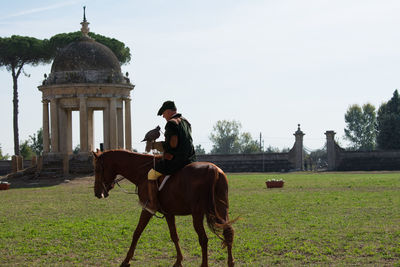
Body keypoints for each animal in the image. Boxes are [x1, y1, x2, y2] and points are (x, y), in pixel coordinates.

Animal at [92, 151, 236, 267]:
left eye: (97, 169)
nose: (97, 193)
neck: (142, 172)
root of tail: (212, 170)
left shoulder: (147, 209)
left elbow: (137, 233)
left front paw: (126, 260)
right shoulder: (169, 213)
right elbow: (174, 236)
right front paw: (178, 261)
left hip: (197, 214)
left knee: (204, 239)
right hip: (221, 210)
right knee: (227, 232)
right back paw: (230, 262)